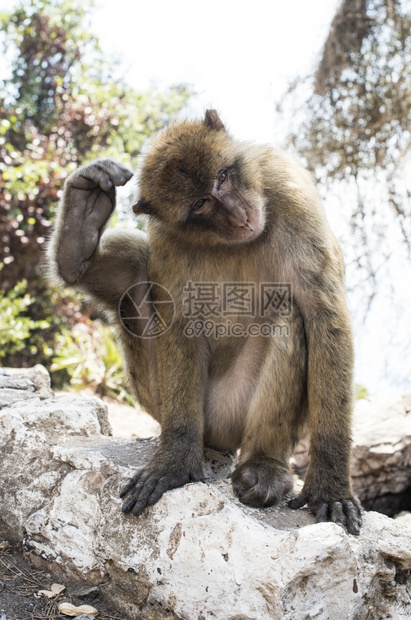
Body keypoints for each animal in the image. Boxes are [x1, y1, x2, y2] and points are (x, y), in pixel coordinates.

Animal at [49, 108, 364, 532]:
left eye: (223, 177)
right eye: (200, 203)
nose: (240, 214)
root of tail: (219, 441)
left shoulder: (288, 187)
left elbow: (323, 317)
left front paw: (330, 486)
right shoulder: (167, 236)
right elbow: (180, 324)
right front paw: (176, 462)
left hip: (232, 411)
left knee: (288, 311)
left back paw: (264, 464)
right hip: (171, 405)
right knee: (135, 274)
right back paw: (77, 238)